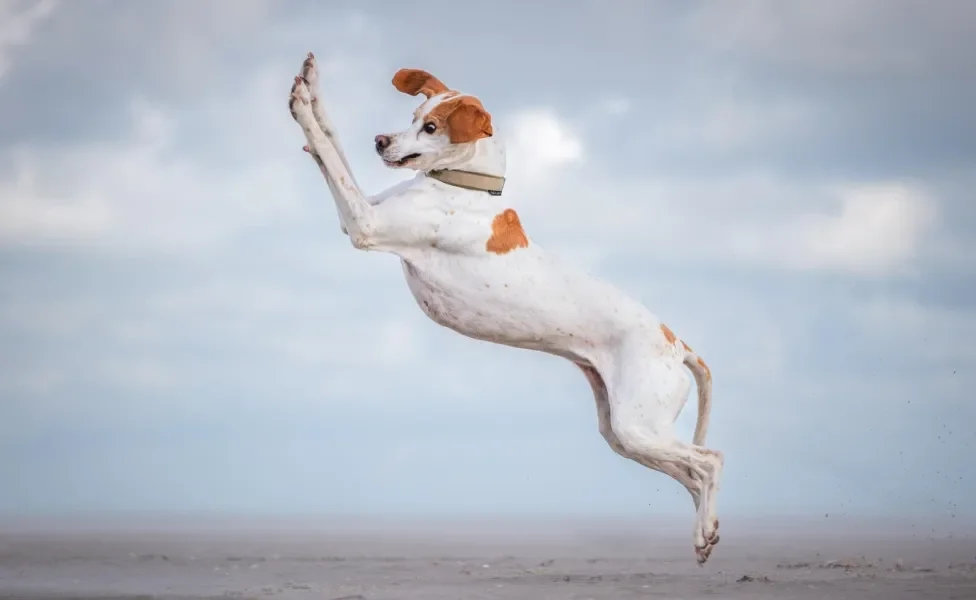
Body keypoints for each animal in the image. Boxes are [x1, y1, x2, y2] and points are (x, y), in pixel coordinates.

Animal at [288, 54, 724, 564]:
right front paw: (311, 86)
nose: (381, 141)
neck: (467, 188)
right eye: (413, 118)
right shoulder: (360, 213)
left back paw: (705, 529)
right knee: (692, 475)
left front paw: (300, 107)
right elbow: (332, 142)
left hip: (639, 426)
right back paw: (704, 535)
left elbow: (329, 155)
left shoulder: (364, 224)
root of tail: (677, 341)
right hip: (625, 434)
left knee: (710, 461)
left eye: (431, 127)